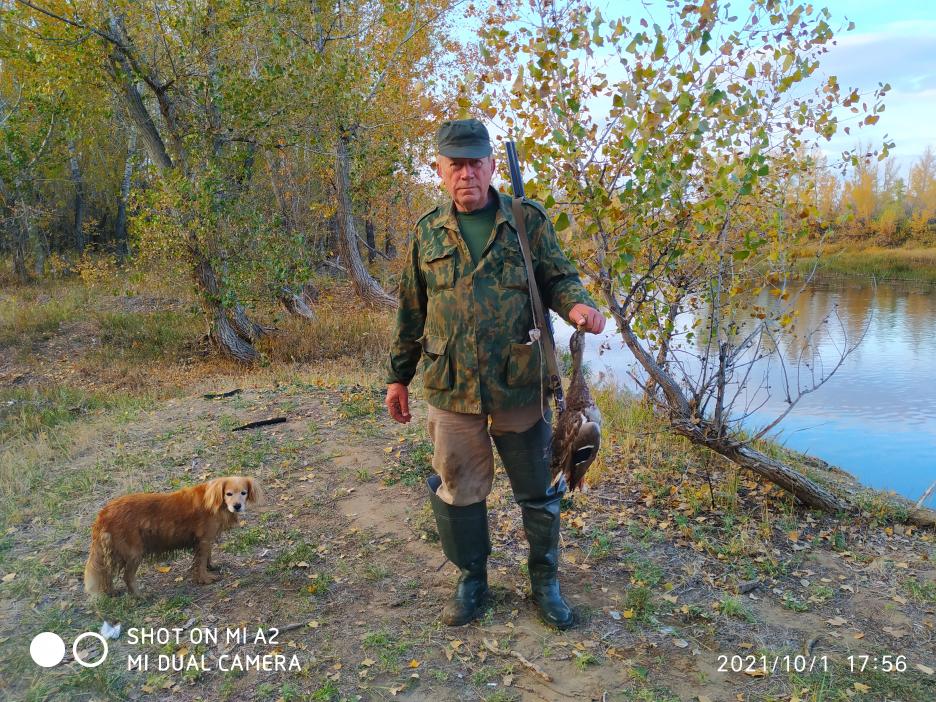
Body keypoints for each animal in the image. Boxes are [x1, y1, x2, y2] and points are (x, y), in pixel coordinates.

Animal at [83, 476, 260, 596]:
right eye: (228, 493)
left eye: (243, 493)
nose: (237, 506)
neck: (215, 501)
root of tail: (104, 513)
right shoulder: (204, 540)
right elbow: (201, 562)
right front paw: (205, 579)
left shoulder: (206, 540)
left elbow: (207, 558)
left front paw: (211, 566)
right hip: (134, 553)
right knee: (127, 577)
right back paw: (139, 596)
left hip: (114, 553)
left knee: (107, 573)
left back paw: (111, 592)